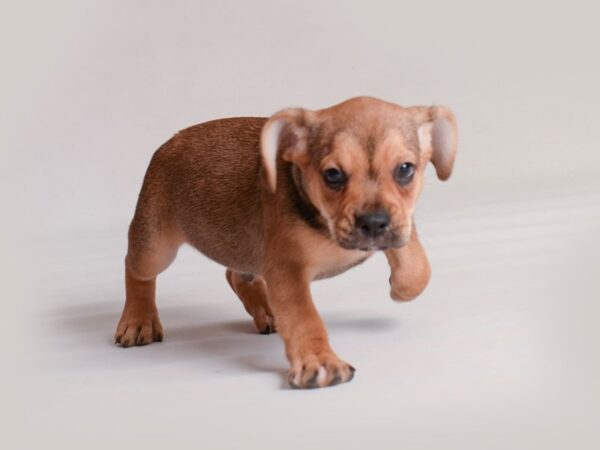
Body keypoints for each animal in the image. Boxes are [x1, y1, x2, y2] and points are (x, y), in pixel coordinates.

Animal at [115, 96, 458, 388]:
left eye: (405, 169)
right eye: (333, 175)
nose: (373, 222)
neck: (324, 224)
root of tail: (169, 143)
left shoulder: (401, 222)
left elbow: (417, 266)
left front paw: (401, 285)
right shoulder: (287, 272)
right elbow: (305, 318)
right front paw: (319, 362)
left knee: (235, 273)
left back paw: (265, 311)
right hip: (155, 246)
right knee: (136, 270)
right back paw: (138, 321)